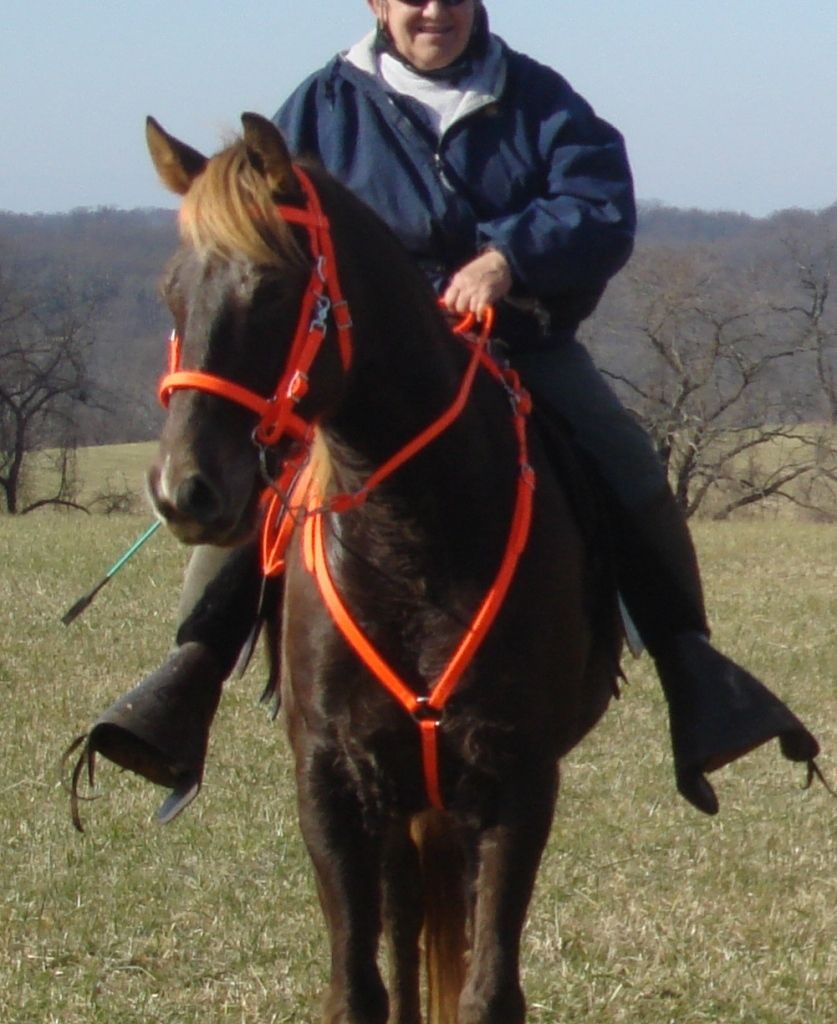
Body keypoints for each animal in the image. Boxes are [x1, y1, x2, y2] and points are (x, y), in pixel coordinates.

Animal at [143, 116, 618, 1024]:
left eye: (270, 288)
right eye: (172, 290)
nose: (186, 489)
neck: (410, 537)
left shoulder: (513, 780)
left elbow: (487, 990)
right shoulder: (333, 781)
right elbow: (359, 987)